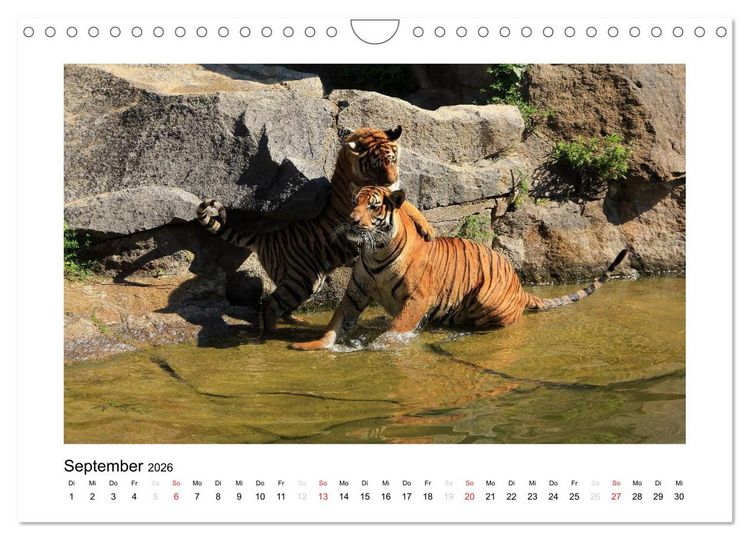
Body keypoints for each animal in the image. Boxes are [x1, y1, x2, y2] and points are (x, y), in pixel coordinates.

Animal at [196, 126, 436, 334]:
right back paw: (271, 334)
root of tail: (267, 236)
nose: (394, 178)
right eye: (377, 165)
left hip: (309, 282)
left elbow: (406, 205)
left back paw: (299, 322)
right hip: (300, 280)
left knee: (281, 307)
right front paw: (427, 228)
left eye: (392, 160)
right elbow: (404, 205)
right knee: (270, 303)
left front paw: (426, 229)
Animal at [290, 186, 628, 351]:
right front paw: (314, 345)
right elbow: (336, 322)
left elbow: (396, 329)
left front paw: (377, 347)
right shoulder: (355, 293)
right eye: (353, 203)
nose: (351, 221)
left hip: (486, 298)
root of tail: (520, 287)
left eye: (373, 206)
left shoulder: (418, 298)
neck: (375, 251)